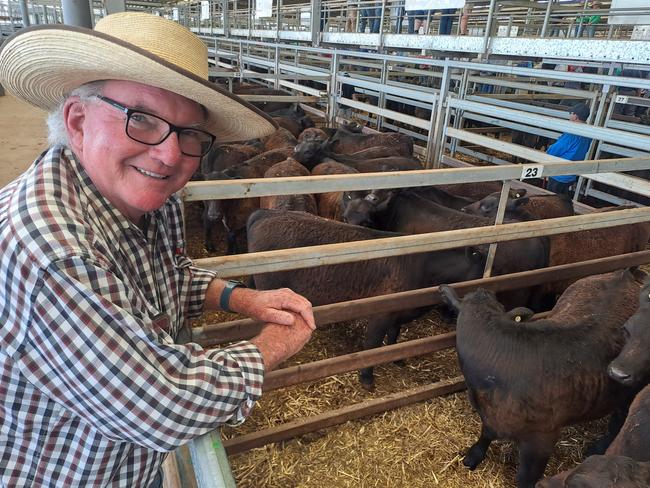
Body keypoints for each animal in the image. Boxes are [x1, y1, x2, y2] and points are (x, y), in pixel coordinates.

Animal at [246, 210, 484, 388]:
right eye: (481, 266)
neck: (420, 265)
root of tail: (266, 213)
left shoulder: (398, 312)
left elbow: (394, 336)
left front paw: (397, 358)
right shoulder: (381, 312)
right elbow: (372, 345)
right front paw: (367, 377)